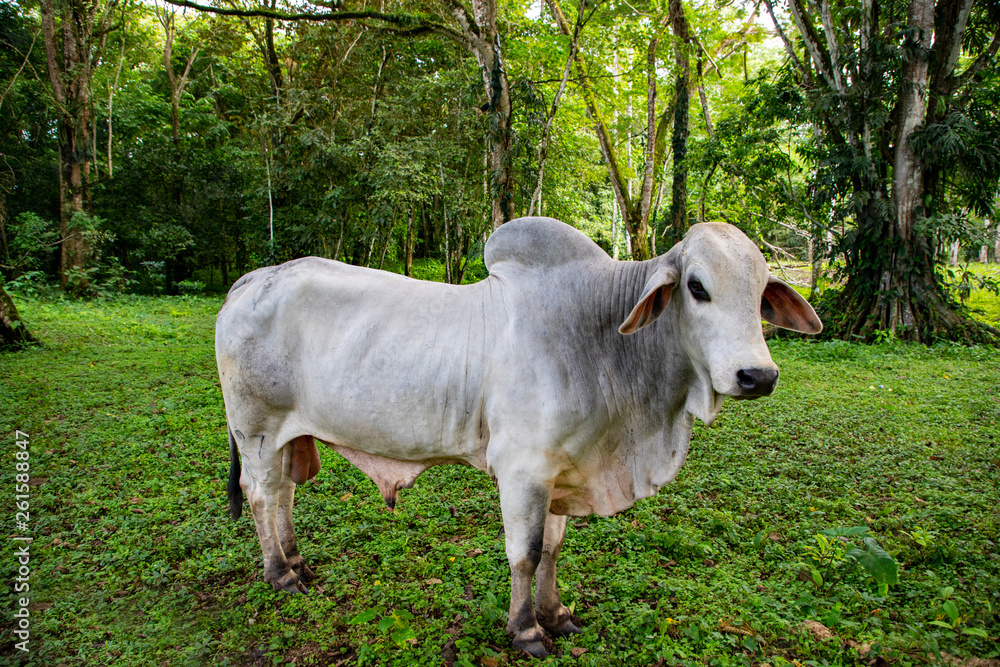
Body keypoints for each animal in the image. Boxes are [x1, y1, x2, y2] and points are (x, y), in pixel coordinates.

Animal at [217, 217, 820, 656]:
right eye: (697, 288)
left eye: (761, 293)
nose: (758, 376)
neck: (600, 336)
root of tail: (250, 280)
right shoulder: (523, 469)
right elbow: (525, 554)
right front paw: (527, 630)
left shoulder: (563, 470)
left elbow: (552, 548)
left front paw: (556, 615)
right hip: (256, 429)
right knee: (261, 495)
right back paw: (280, 573)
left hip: (288, 436)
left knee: (285, 494)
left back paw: (297, 561)